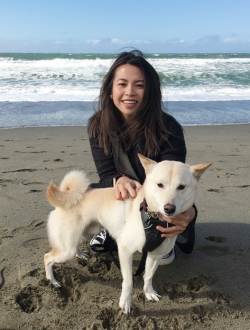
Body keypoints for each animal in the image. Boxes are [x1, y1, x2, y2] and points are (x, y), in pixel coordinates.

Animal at [43, 153, 211, 314]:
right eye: (160, 185)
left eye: (181, 187)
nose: (169, 208)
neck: (153, 219)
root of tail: (66, 198)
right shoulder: (124, 250)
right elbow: (129, 281)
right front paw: (125, 303)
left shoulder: (155, 255)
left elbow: (148, 275)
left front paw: (148, 292)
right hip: (66, 249)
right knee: (47, 257)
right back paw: (52, 281)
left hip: (87, 232)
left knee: (75, 245)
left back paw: (80, 254)